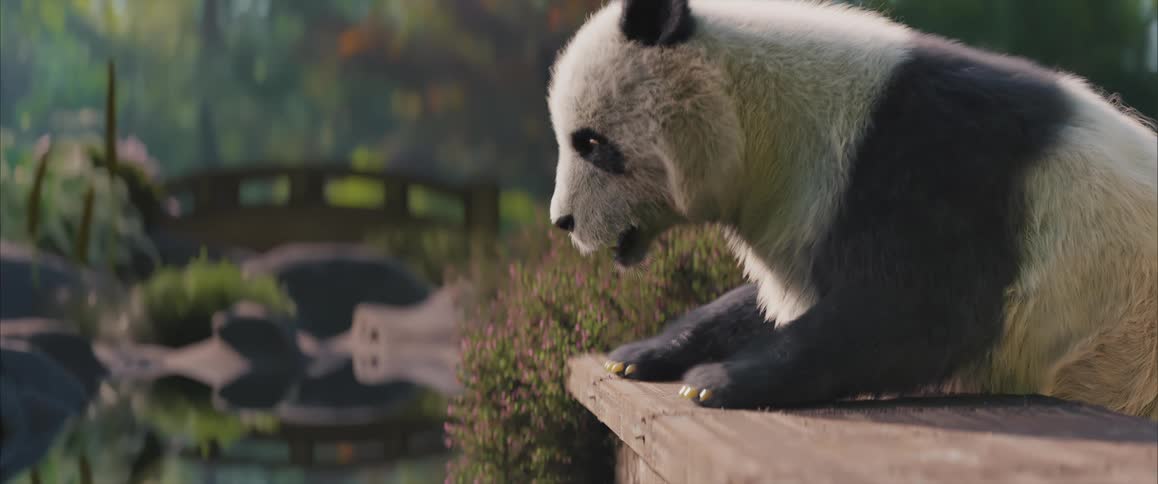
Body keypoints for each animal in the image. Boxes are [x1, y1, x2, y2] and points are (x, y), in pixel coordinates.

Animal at [546, 0, 1158, 419]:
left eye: (592, 143)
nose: (563, 221)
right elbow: (772, 302)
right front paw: (639, 354)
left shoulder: (931, 164)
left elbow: (918, 310)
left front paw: (717, 380)